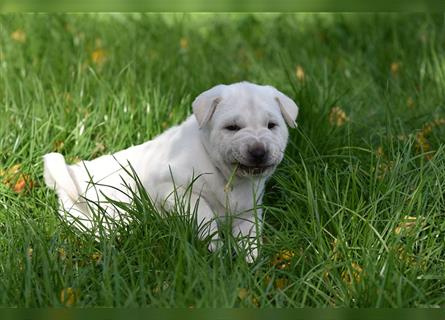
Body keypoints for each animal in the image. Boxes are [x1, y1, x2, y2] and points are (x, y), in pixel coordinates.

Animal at [43, 81, 298, 262]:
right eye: (232, 127)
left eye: (272, 125)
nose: (258, 152)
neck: (225, 175)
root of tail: (71, 173)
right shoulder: (173, 189)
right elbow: (204, 213)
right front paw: (216, 247)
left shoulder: (248, 209)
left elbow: (250, 235)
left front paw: (250, 263)